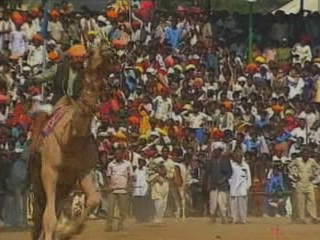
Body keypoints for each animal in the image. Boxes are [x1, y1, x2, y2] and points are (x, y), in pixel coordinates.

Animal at [29, 45, 115, 240]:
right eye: (92, 54)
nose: (108, 49)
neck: (69, 139)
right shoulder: (49, 170)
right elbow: (49, 218)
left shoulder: (83, 171)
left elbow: (93, 200)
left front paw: (67, 231)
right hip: (37, 179)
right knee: (39, 213)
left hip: (65, 185)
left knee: (56, 207)